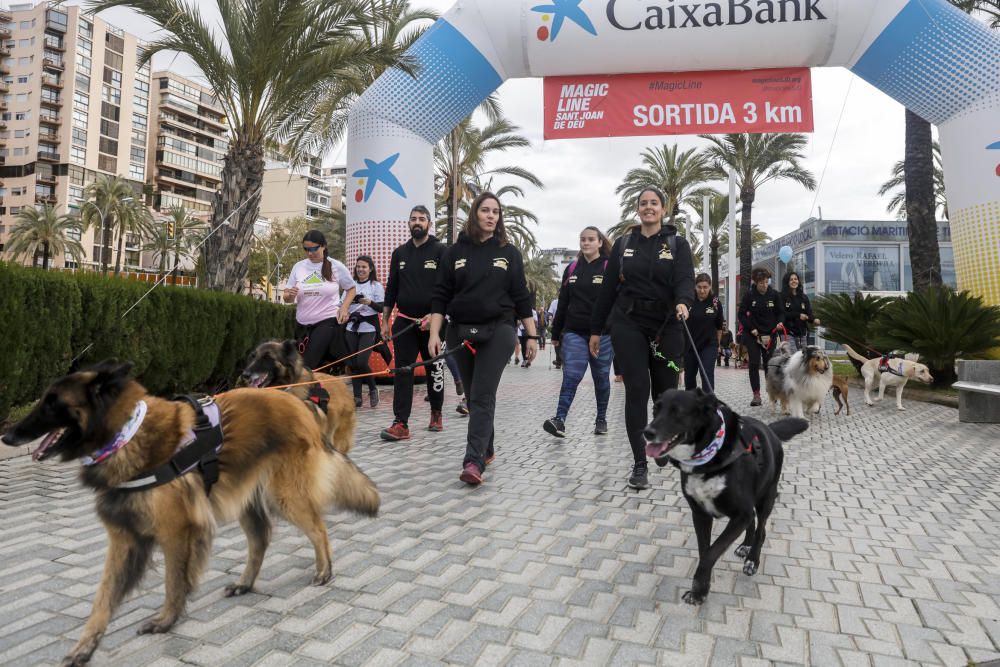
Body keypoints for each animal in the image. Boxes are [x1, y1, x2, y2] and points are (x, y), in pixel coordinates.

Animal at [0, 362, 378, 664]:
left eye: (54, 404)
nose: (7, 435)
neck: (125, 435)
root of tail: (297, 402)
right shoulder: (125, 538)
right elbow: (103, 599)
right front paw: (84, 647)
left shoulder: (175, 530)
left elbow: (173, 581)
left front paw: (166, 620)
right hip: (247, 500)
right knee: (261, 541)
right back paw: (245, 583)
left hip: (286, 496)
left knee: (318, 529)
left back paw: (324, 570)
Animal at [644, 392, 808, 604]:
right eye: (655, 409)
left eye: (677, 412)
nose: (647, 432)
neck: (708, 459)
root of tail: (770, 430)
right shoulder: (700, 514)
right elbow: (704, 551)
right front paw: (702, 589)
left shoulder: (740, 514)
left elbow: (711, 553)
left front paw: (699, 590)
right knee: (753, 523)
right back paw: (746, 545)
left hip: (766, 498)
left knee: (761, 528)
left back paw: (752, 560)